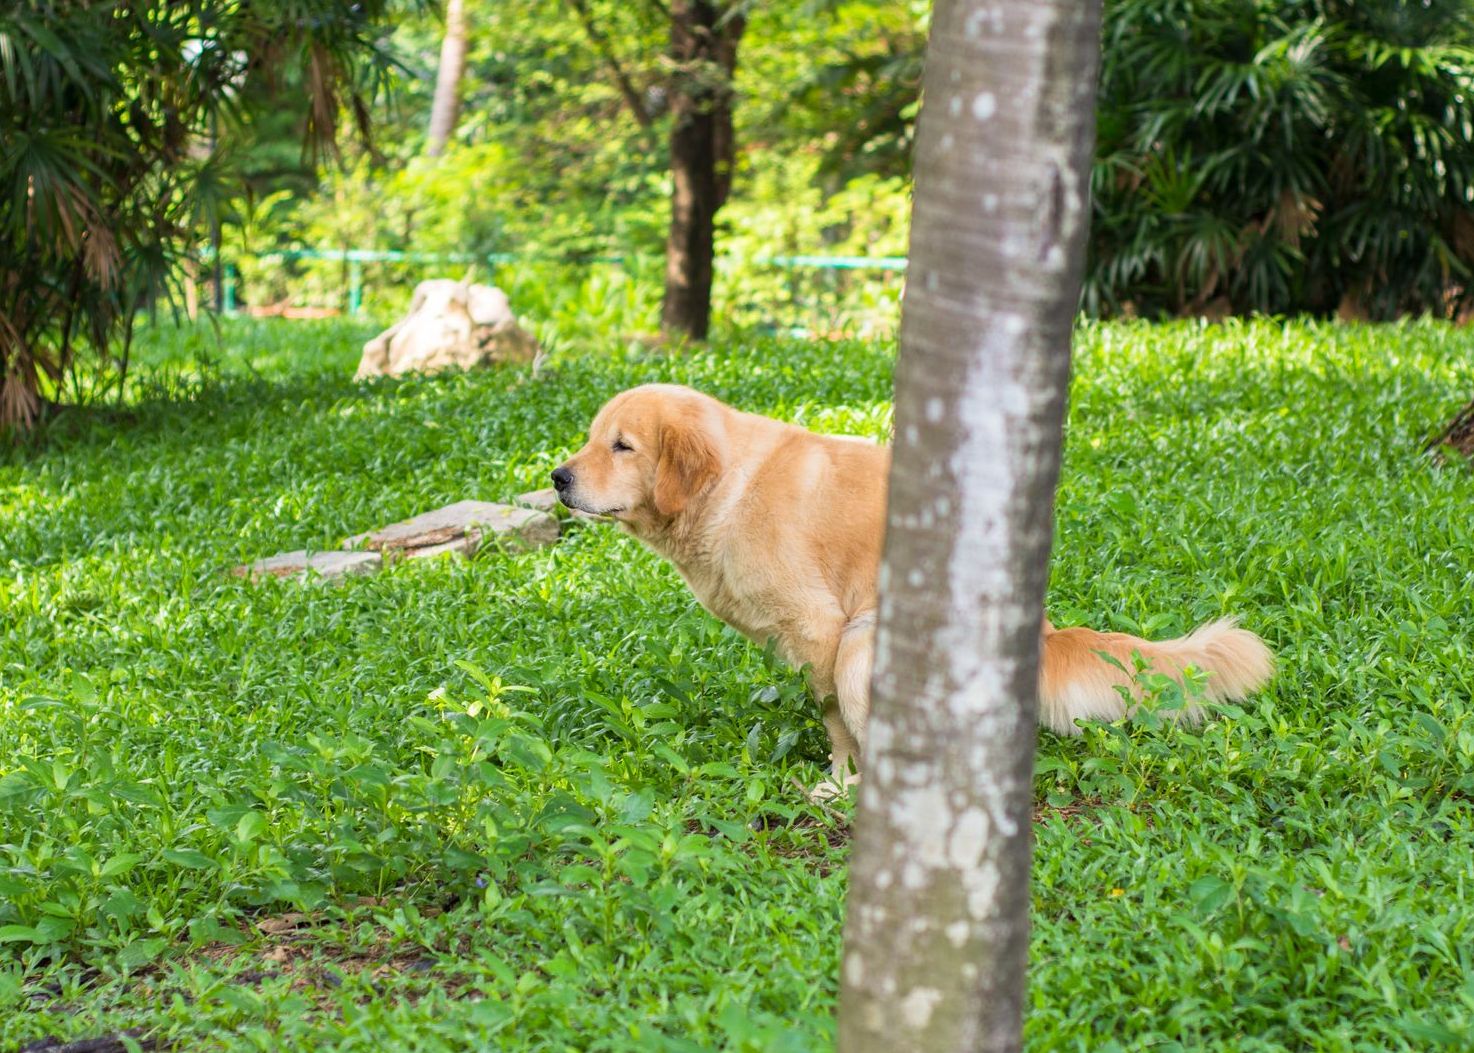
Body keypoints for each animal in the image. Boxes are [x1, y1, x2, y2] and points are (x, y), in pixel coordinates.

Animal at [554, 380, 1267, 790]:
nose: (558, 478)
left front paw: (840, 781)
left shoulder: (824, 630)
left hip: (866, 644)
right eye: (591, 439)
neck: (726, 487)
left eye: (622, 446)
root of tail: (1042, 635)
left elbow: (836, 723)